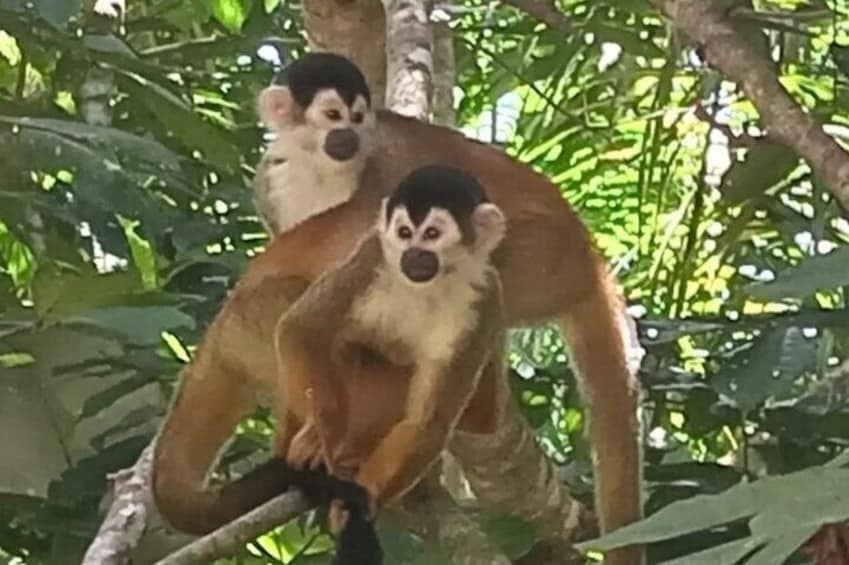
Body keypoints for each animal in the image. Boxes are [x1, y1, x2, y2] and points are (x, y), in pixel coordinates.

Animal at [276, 165, 504, 528]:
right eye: (405, 232)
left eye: (432, 234)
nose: (412, 255)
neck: (430, 286)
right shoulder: (372, 255)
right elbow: (300, 328)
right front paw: (320, 435)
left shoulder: (487, 300)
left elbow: (429, 422)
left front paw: (362, 498)